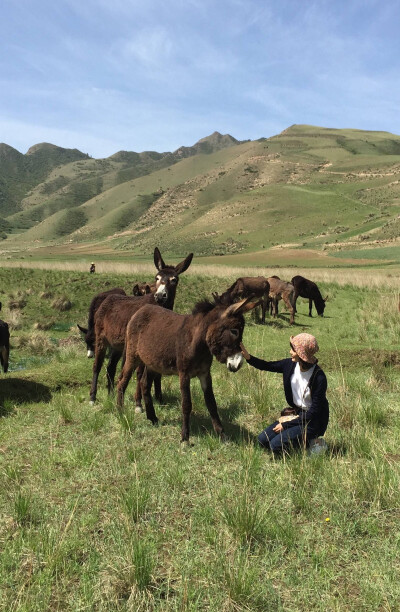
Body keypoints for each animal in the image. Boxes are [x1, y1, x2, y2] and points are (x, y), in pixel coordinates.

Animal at [90, 246, 193, 404]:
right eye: (157, 278)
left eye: (174, 280)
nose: (160, 296)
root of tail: (106, 300)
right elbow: (139, 373)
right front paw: (140, 402)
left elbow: (155, 374)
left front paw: (158, 398)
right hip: (101, 338)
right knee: (97, 365)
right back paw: (93, 397)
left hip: (118, 346)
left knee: (110, 367)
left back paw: (110, 395)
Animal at [117, 296, 258, 440]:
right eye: (234, 331)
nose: (238, 364)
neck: (198, 343)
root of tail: (141, 310)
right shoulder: (184, 374)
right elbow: (186, 404)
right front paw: (185, 437)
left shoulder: (205, 374)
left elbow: (212, 403)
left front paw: (222, 434)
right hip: (133, 357)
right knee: (123, 381)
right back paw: (121, 412)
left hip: (152, 364)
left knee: (144, 384)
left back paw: (153, 418)